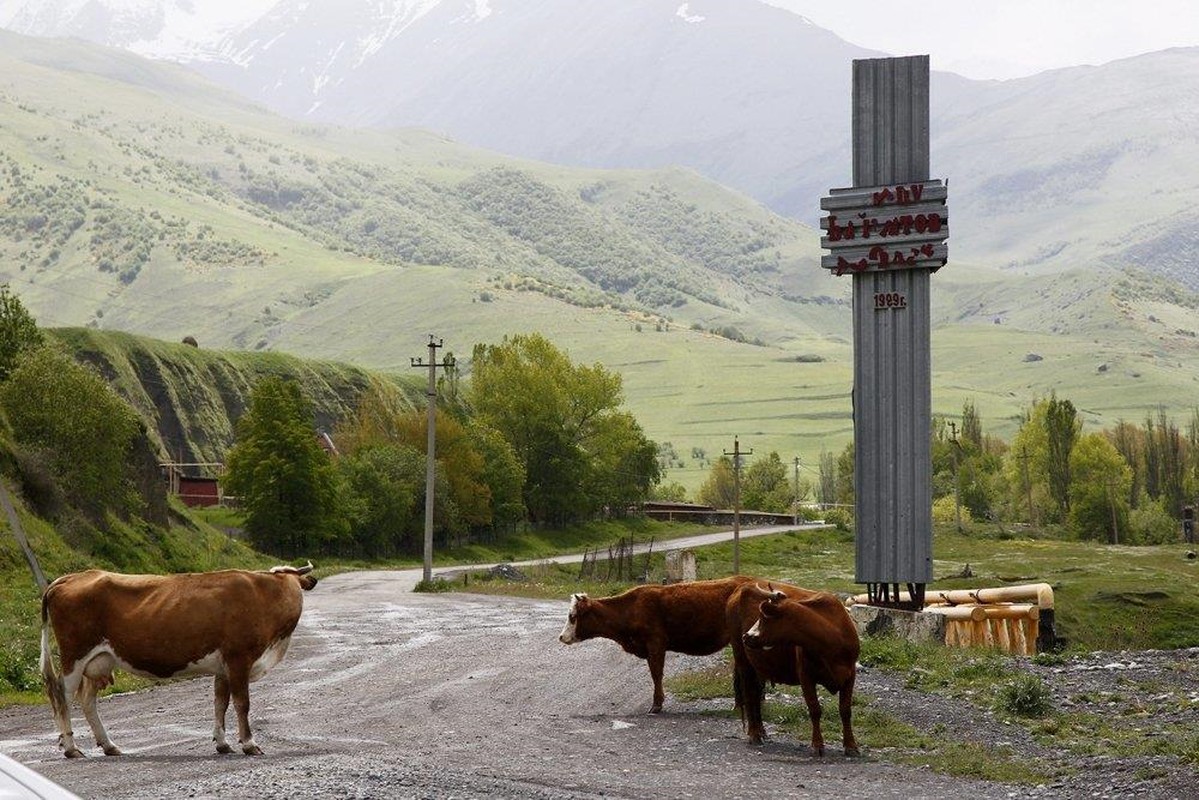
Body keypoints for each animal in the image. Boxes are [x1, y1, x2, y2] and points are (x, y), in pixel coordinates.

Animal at [40, 563, 316, 758]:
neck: (264, 596)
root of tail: (71, 577)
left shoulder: (223, 666)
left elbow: (220, 703)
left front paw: (222, 743)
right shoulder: (239, 658)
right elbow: (242, 703)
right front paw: (249, 744)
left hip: (99, 661)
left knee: (87, 701)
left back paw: (109, 746)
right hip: (74, 657)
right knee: (62, 698)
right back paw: (71, 748)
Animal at [556, 575, 752, 714]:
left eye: (572, 616)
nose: (561, 637)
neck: (631, 609)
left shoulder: (655, 643)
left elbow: (656, 673)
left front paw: (657, 705)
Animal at [724, 582, 858, 758]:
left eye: (764, 617)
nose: (747, 636)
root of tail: (741, 588)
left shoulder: (850, 675)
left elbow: (845, 710)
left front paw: (851, 746)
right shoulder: (806, 676)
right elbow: (815, 709)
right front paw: (817, 745)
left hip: (758, 666)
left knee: (756, 693)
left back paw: (761, 731)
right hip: (742, 660)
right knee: (749, 694)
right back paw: (754, 734)